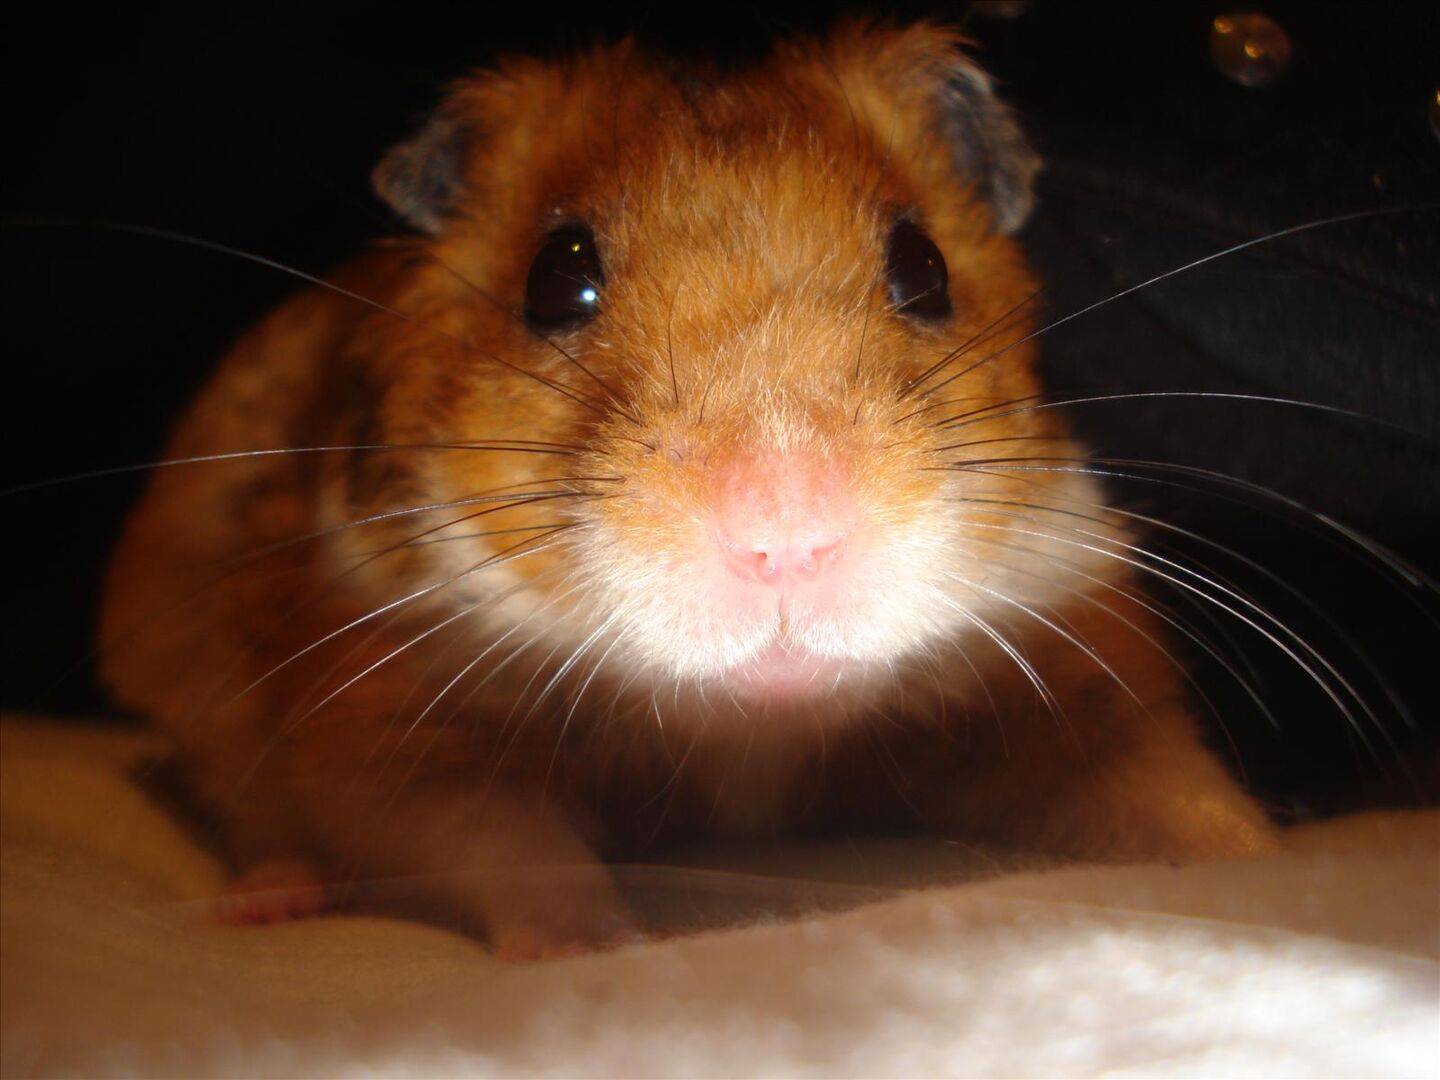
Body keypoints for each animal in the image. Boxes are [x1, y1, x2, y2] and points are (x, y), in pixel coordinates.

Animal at [99, 21, 1277, 959]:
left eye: (924, 268)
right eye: (555, 276)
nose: (787, 532)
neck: (753, 724)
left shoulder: (1070, 658)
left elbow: (1172, 792)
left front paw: (1270, 868)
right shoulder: (389, 710)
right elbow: (497, 839)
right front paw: (603, 947)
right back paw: (269, 902)